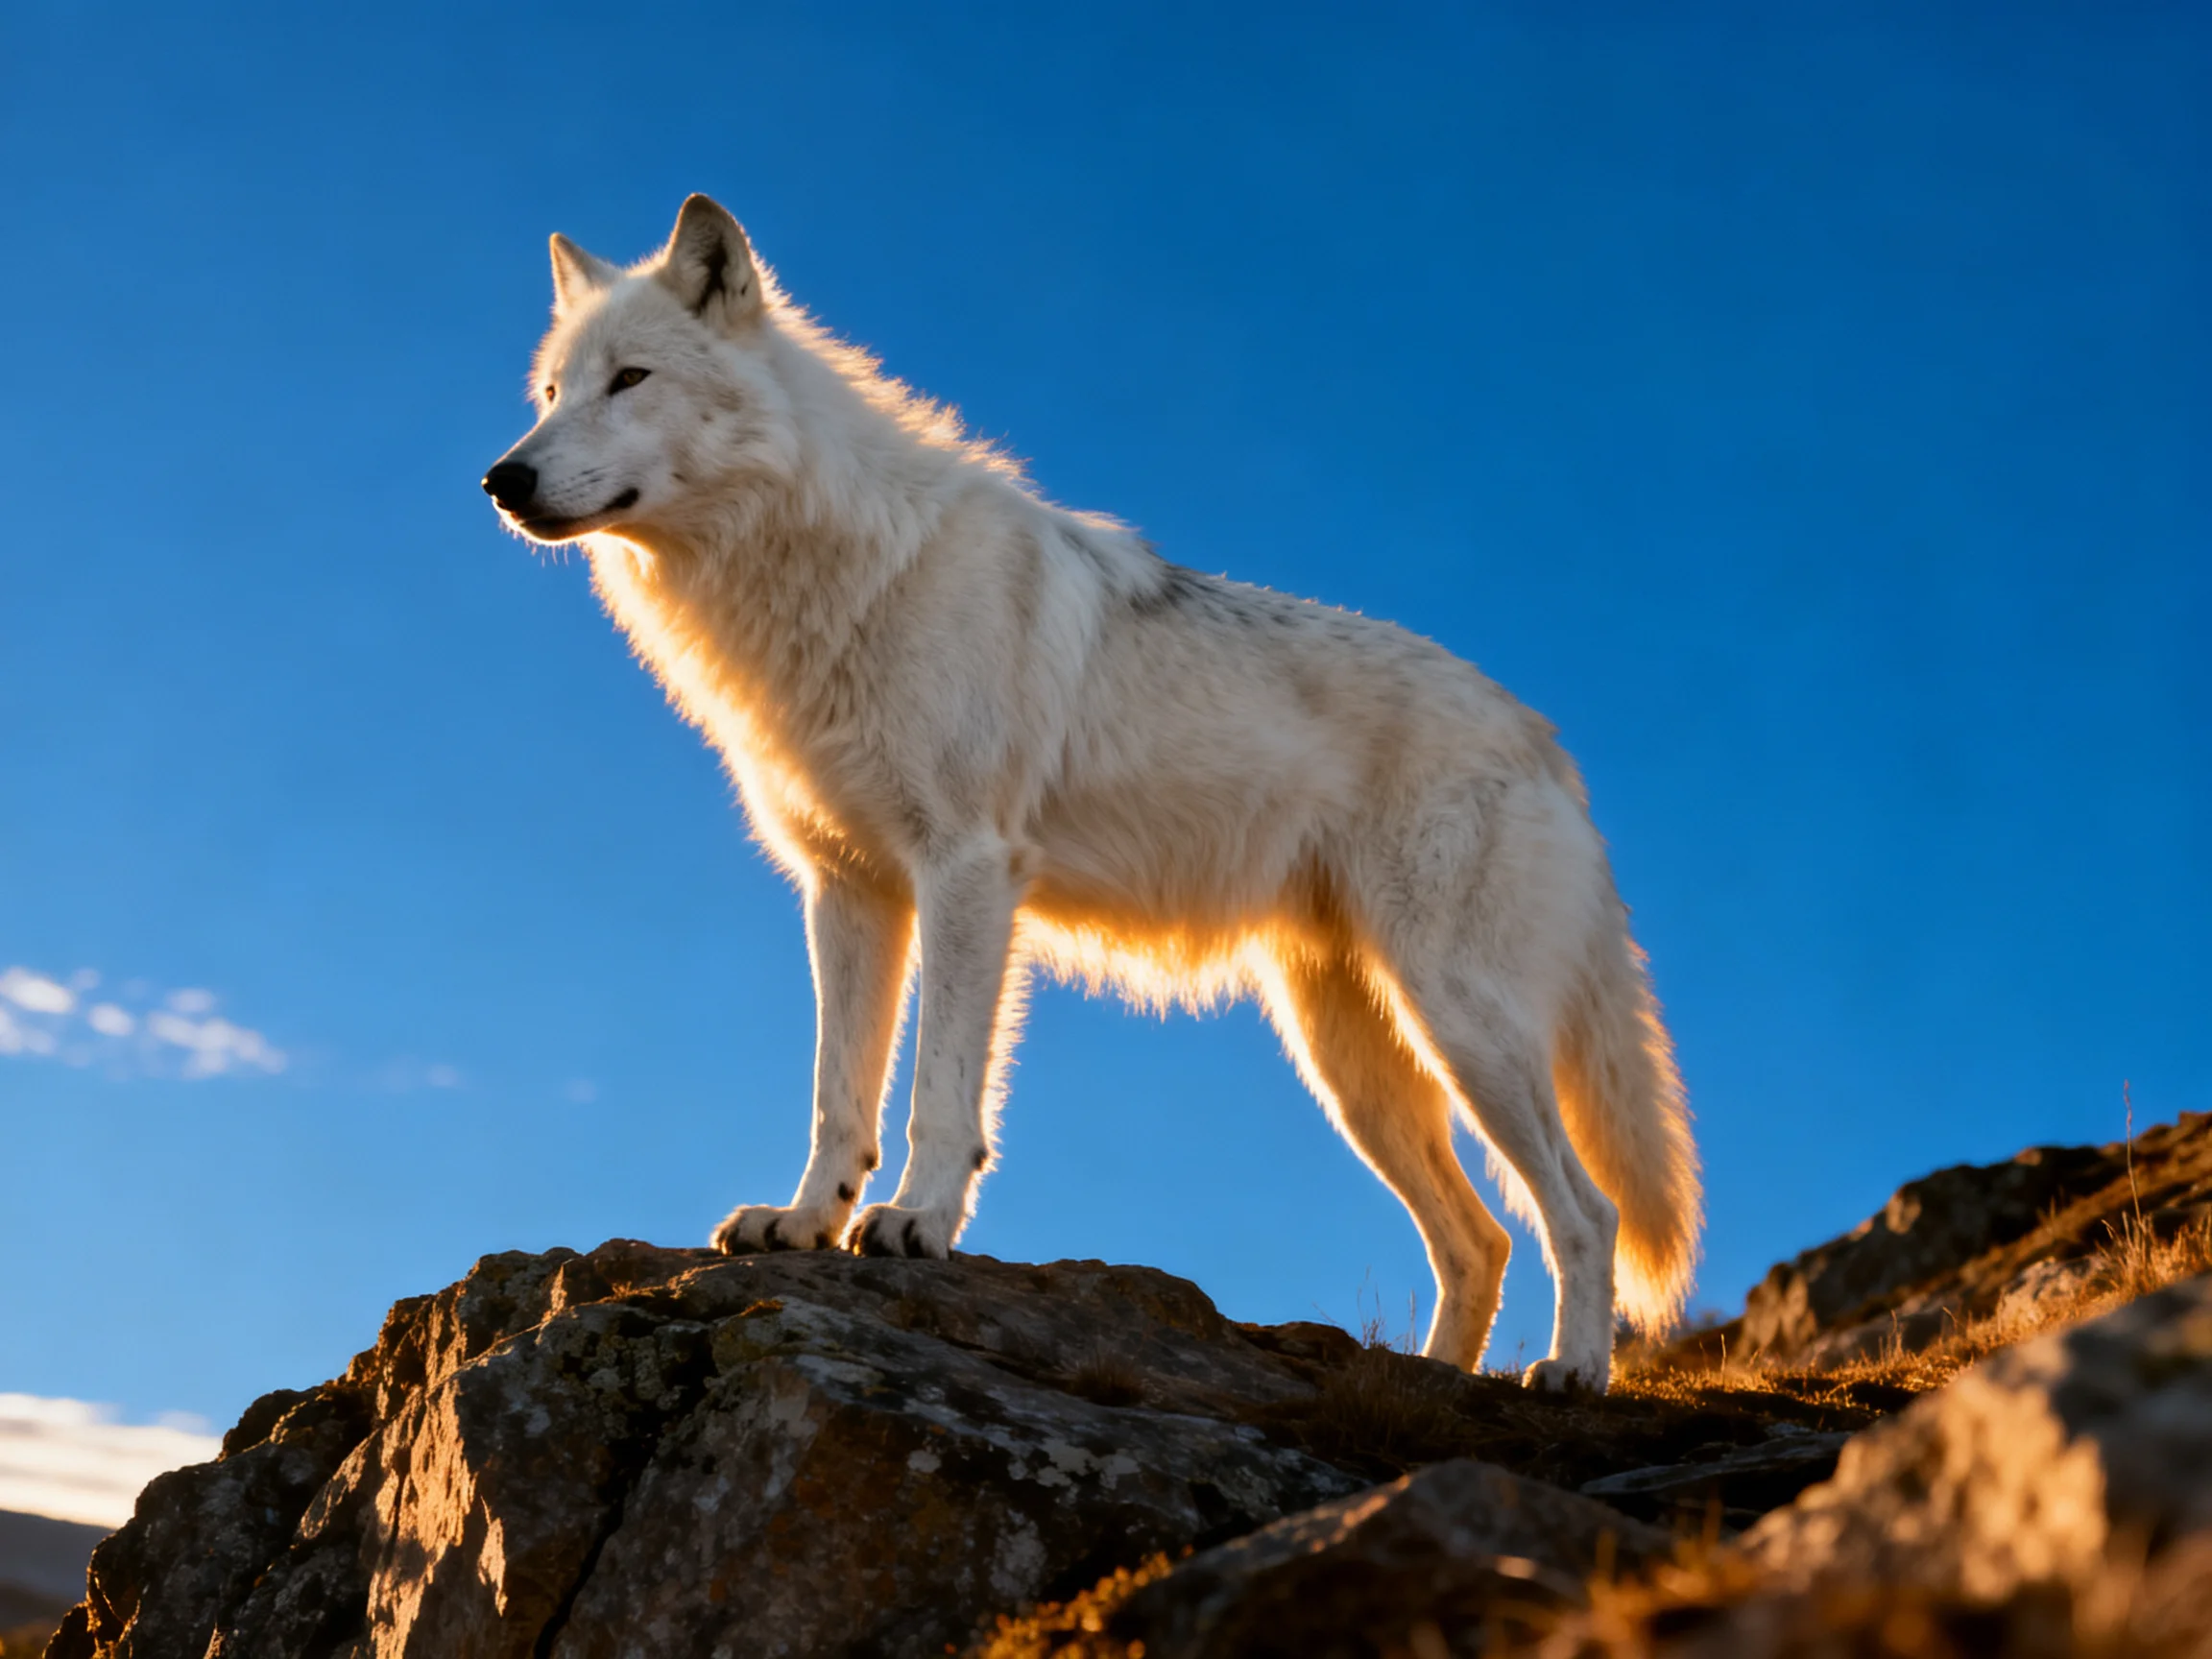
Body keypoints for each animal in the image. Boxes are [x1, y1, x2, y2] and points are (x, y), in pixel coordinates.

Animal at [482, 195, 1699, 1390]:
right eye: (550, 395)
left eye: (631, 379)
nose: (503, 480)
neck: (834, 567)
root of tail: (1548, 743)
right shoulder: (848, 888)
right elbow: (839, 1095)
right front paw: (803, 1223)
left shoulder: (967, 872)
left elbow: (939, 1093)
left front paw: (916, 1224)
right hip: (1353, 1066)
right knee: (1479, 1240)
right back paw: (1435, 1382)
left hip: (1461, 1028)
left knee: (1583, 1212)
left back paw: (1571, 1374)